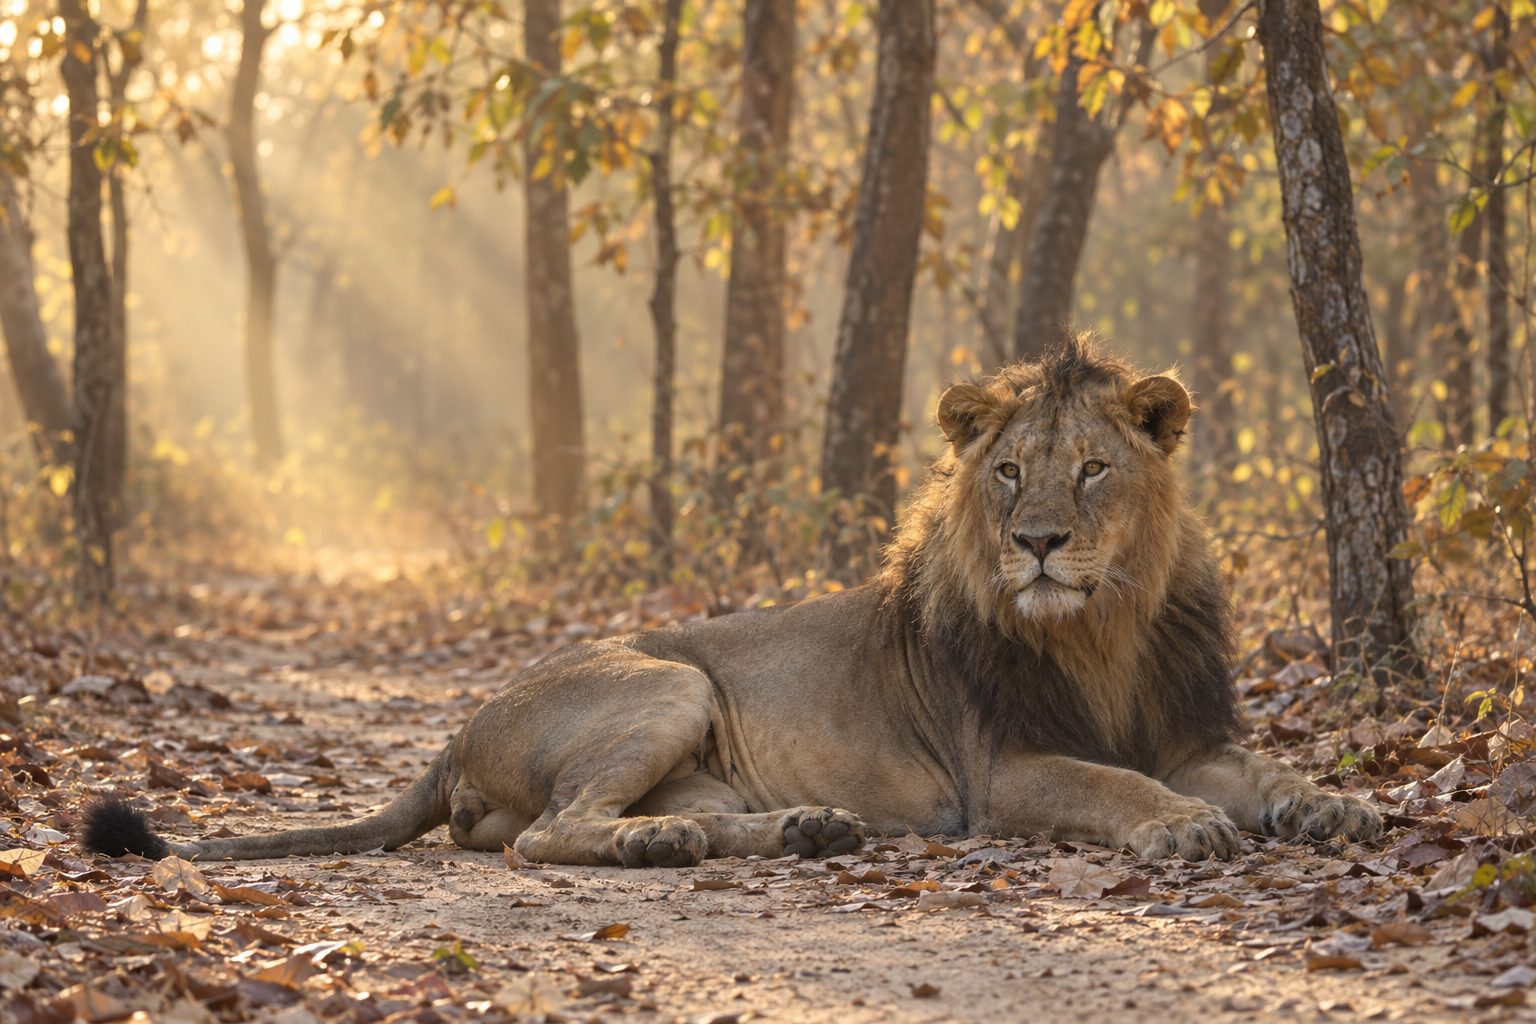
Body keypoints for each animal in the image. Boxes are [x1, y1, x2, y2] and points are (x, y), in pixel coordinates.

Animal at [83, 335, 1381, 867]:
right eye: (1011, 471)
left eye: (1095, 468)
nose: (1039, 545)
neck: (1101, 629)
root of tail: (459, 724)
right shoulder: (998, 771)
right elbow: (1112, 785)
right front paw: (1179, 826)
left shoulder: (1194, 732)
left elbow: (1263, 772)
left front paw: (1337, 806)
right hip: (667, 680)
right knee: (543, 837)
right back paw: (661, 841)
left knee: (558, 827)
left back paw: (785, 829)